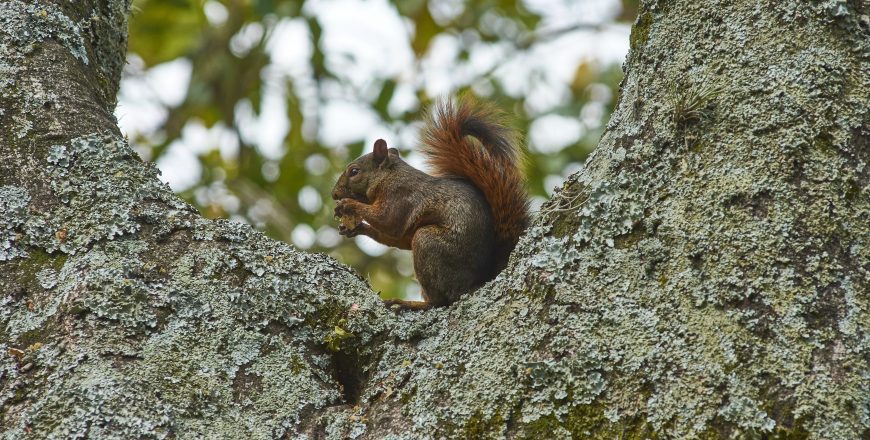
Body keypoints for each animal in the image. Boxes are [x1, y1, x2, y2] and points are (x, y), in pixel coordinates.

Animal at [330, 97, 528, 310]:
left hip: (428, 243)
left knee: (439, 300)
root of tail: (479, 280)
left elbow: (389, 222)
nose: (334, 194)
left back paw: (409, 303)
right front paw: (354, 228)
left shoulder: (401, 196)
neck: (388, 176)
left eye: (354, 172)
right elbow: (395, 238)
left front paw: (347, 205)